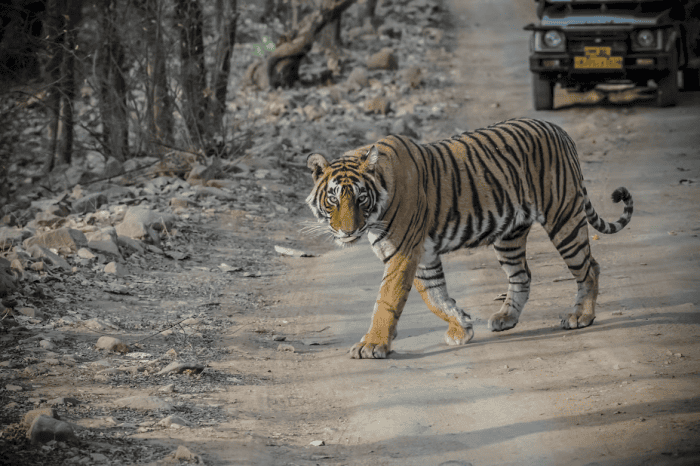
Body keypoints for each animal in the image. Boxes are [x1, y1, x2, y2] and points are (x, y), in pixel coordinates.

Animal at [305, 117, 633, 359]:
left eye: (361, 198)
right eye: (333, 199)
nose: (347, 232)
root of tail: (560, 130)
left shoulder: (402, 252)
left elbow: (387, 299)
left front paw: (373, 345)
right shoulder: (422, 255)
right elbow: (435, 296)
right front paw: (461, 327)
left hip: (563, 218)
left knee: (589, 268)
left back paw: (581, 317)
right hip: (509, 236)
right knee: (522, 275)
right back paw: (505, 318)